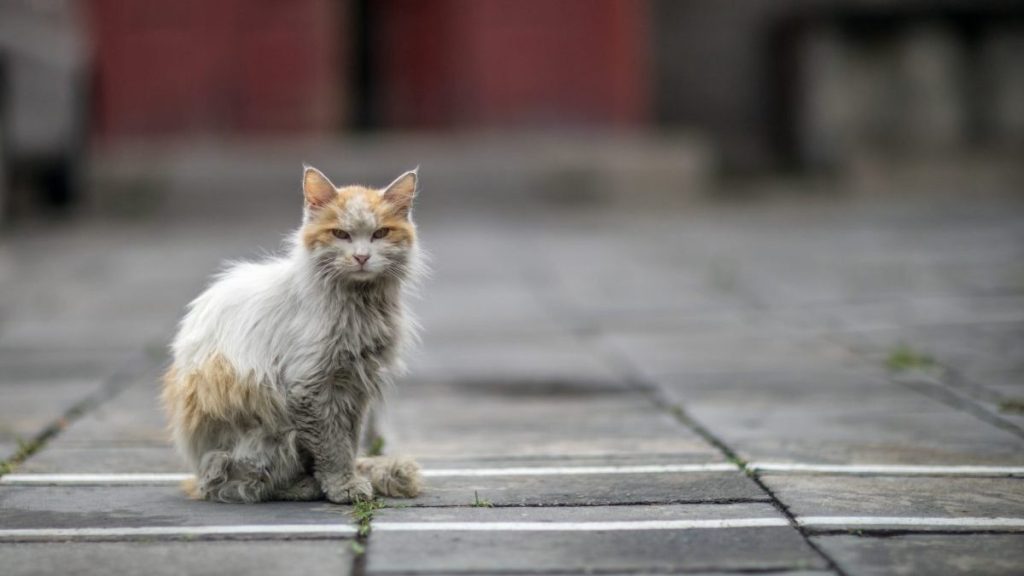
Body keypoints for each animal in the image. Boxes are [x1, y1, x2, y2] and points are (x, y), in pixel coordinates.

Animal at [162, 163, 423, 500]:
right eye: (340, 234)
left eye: (380, 234)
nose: (362, 257)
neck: (358, 303)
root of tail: (195, 473)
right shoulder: (310, 387)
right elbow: (332, 446)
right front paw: (343, 485)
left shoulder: (355, 386)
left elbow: (350, 441)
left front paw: (352, 477)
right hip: (266, 434)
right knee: (238, 484)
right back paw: (303, 486)